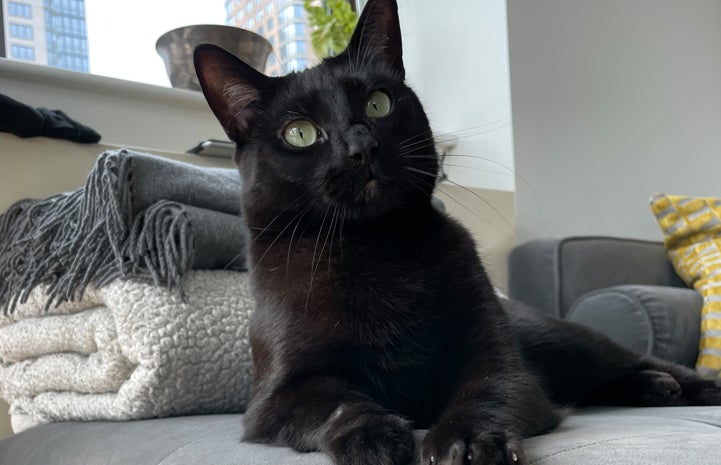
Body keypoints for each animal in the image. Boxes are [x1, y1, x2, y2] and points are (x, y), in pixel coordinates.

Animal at [191, 1, 720, 462]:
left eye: (379, 103)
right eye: (299, 133)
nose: (362, 146)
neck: (375, 246)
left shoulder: (500, 360)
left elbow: (485, 390)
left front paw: (465, 442)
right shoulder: (273, 399)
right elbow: (333, 401)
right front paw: (372, 434)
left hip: (560, 338)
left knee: (630, 361)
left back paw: (689, 384)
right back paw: (655, 388)